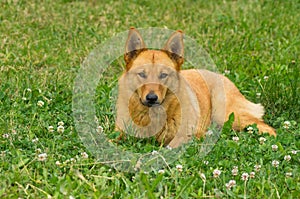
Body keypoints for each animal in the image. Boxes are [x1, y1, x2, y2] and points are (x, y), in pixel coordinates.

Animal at [115, 27, 276, 148]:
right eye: (142, 74)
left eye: (163, 75)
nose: (152, 98)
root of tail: (222, 76)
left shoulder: (184, 137)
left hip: (226, 114)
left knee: (266, 128)